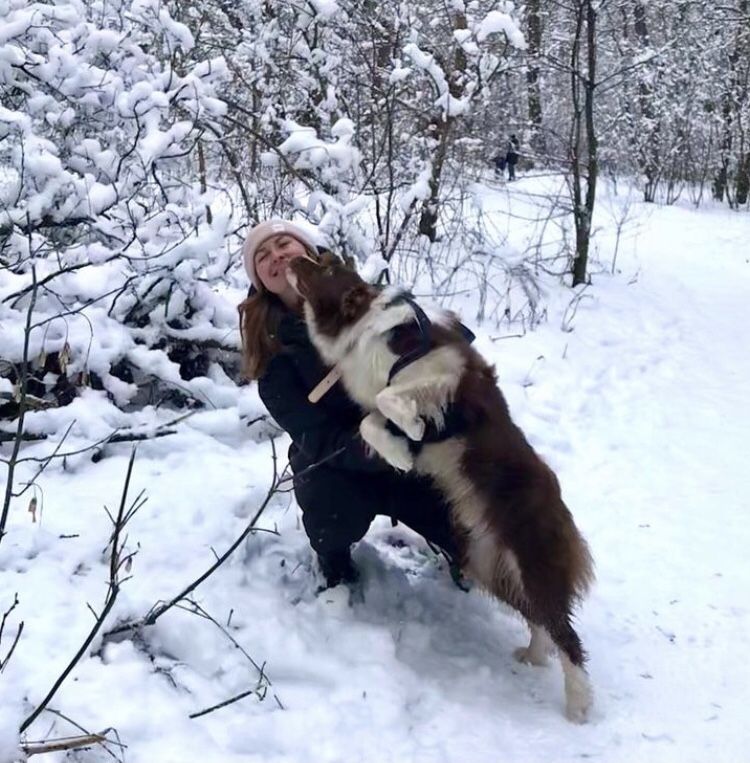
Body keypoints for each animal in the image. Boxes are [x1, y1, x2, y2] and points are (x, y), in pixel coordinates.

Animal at [290, 256, 600, 724]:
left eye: (320, 263)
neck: (366, 326)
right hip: (491, 565)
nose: (291, 258)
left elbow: (390, 400)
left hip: (533, 563)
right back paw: (532, 655)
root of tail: (561, 509)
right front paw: (402, 452)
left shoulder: (450, 372)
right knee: (542, 622)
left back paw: (578, 706)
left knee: (567, 636)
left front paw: (412, 429)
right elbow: (370, 420)